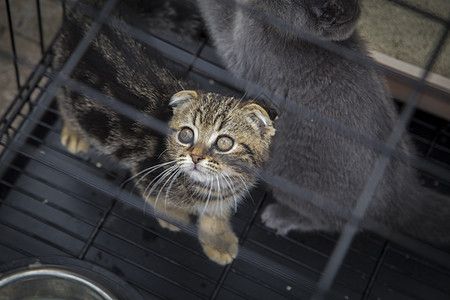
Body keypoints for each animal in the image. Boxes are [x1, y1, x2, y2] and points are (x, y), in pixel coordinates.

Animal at [55, 0, 276, 264]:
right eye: (186, 135)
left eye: (224, 143)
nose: (196, 157)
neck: (215, 186)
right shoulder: (144, 171)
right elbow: (158, 201)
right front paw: (175, 218)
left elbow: (215, 215)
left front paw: (218, 239)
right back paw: (73, 133)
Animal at [198, 0, 450, 246]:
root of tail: (407, 195)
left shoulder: (244, 49)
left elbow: (219, 20)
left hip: (291, 176)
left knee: (331, 221)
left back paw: (281, 216)